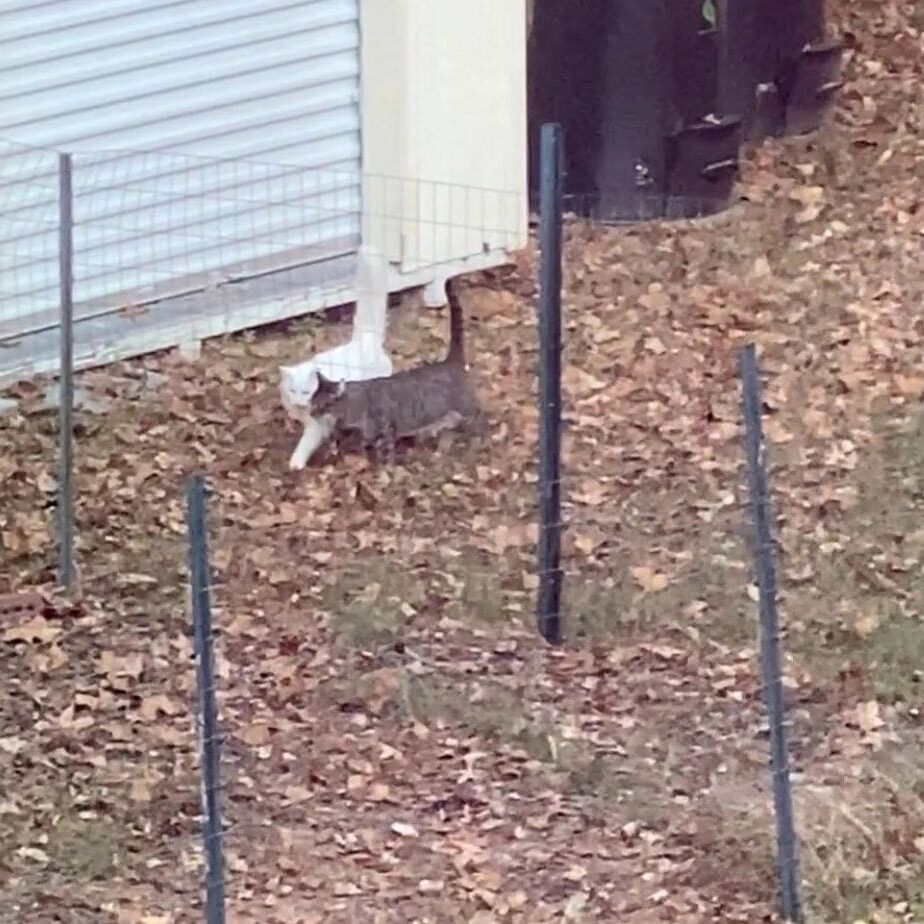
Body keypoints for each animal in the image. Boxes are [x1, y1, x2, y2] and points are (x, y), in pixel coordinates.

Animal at [284, 245, 396, 470]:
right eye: (292, 391)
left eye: (306, 392)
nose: (299, 403)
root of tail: (365, 339)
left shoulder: (317, 424)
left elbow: (306, 443)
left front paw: (296, 462)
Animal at [312, 274, 484, 462]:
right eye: (311, 402)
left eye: (321, 405)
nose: (311, 414)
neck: (354, 403)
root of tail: (450, 361)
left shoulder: (386, 427)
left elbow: (385, 450)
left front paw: (384, 462)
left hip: (466, 407)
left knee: (479, 415)